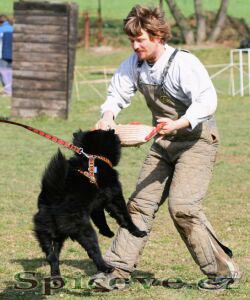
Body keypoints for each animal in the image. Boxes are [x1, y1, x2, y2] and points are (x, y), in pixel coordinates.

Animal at [33, 129, 146, 278]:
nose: (114, 130)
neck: (95, 157)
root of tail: (53, 198)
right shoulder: (114, 197)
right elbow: (124, 216)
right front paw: (138, 232)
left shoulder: (96, 206)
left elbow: (101, 219)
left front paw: (107, 232)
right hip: (83, 229)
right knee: (93, 251)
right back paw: (106, 267)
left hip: (50, 234)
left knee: (52, 256)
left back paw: (56, 277)